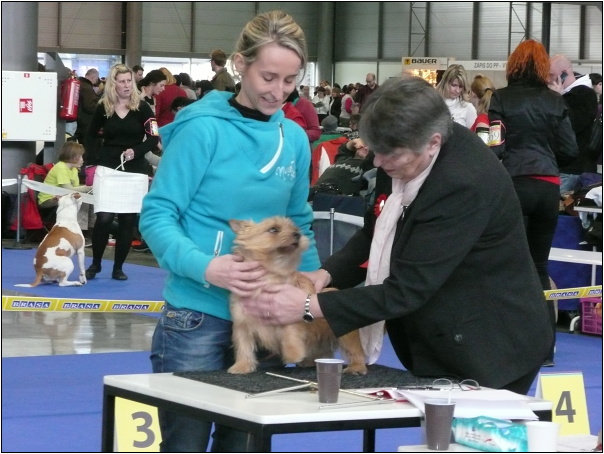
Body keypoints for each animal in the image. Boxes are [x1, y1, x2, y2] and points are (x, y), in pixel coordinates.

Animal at [228, 216, 366, 376]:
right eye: (273, 229)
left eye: (294, 227)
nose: (297, 234)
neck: (268, 278)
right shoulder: (242, 323)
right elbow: (243, 345)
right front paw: (242, 365)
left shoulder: (287, 312)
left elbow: (290, 334)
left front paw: (292, 354)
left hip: (346, 333)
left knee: (355, 350)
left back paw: (357, 367)